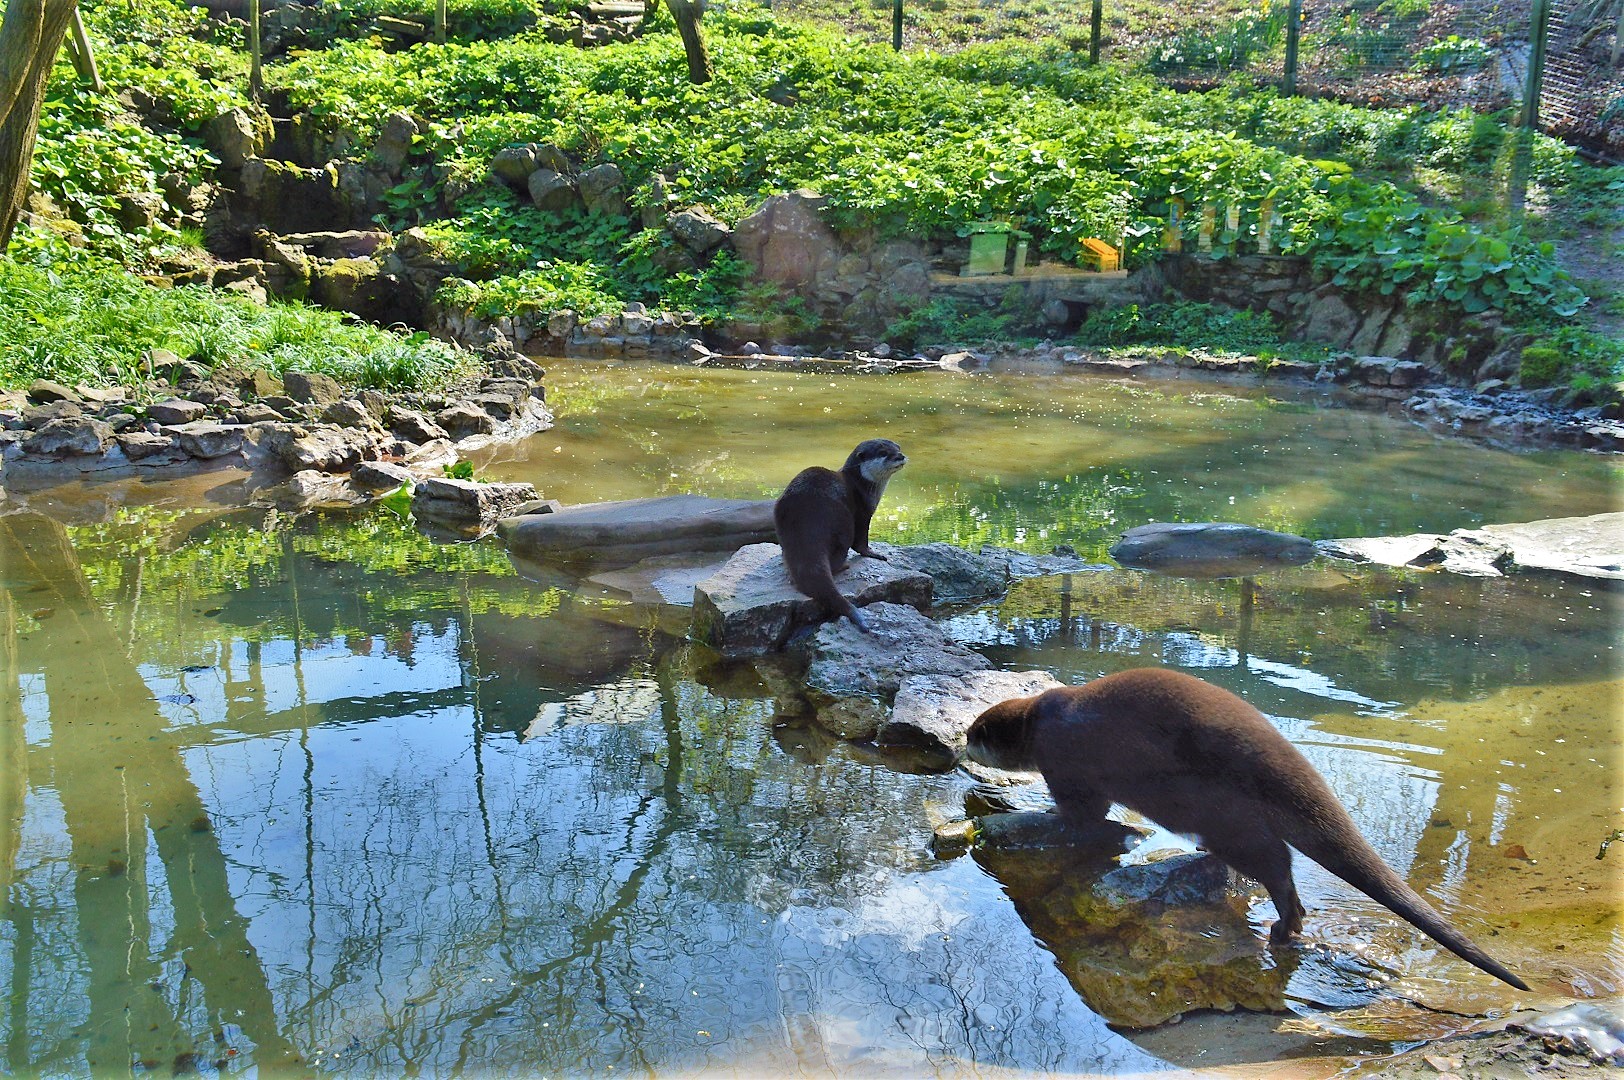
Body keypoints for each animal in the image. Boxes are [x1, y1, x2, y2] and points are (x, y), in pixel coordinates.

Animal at [773, 439, 907, 633]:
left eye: (898, 447)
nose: (900, 456)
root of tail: (807, 521)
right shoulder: (863, 512)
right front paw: (874, 553)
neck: (861, 485)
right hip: (843, 525)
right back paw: (844, 566)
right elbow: (861, 543)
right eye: (883, 452)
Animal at [965, 668, 1529, 991]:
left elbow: (1082, 815)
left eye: (972, 735)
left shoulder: (1066, 765)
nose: (959, 746)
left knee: (1276, 867)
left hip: (1219, 812)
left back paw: (1283, 924)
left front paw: (1027, 812)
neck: (1039, 723)